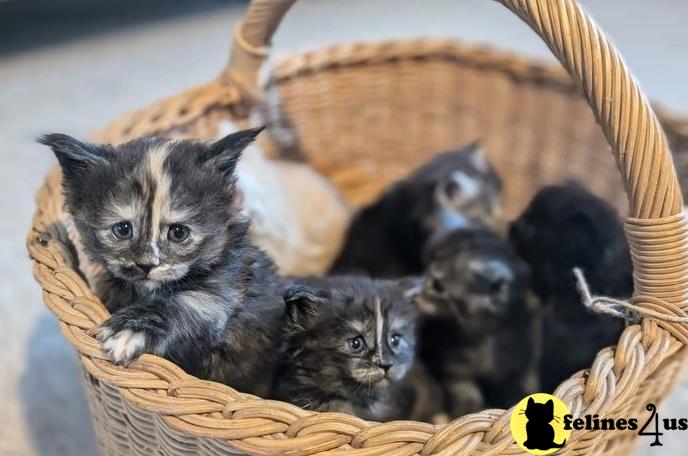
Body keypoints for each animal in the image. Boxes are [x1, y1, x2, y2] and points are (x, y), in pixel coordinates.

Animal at [40, 128, 284, 396]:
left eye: (179, 232)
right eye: (123, 230)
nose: (147, 265)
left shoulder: (224, 292)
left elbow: (184, 302)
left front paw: (130, 330)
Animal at [416, 226, 540, 418]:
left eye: (438, 286)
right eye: (425, 269)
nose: (416, 289)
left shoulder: (519, 368)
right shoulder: (455, 372)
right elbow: (466, 397)